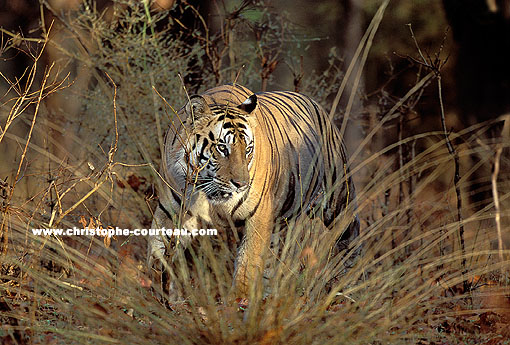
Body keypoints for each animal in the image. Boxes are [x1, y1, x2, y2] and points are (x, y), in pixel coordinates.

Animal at [148, 82, 358, 296]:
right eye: (222, 148)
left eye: (248, 149)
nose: (241, 184)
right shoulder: (170, 211)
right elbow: (157, 253)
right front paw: (155, 291)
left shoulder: (258, 217)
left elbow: (246, 267)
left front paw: (239, 300)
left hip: (337, 201)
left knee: (351, 236)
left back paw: (351, 284)